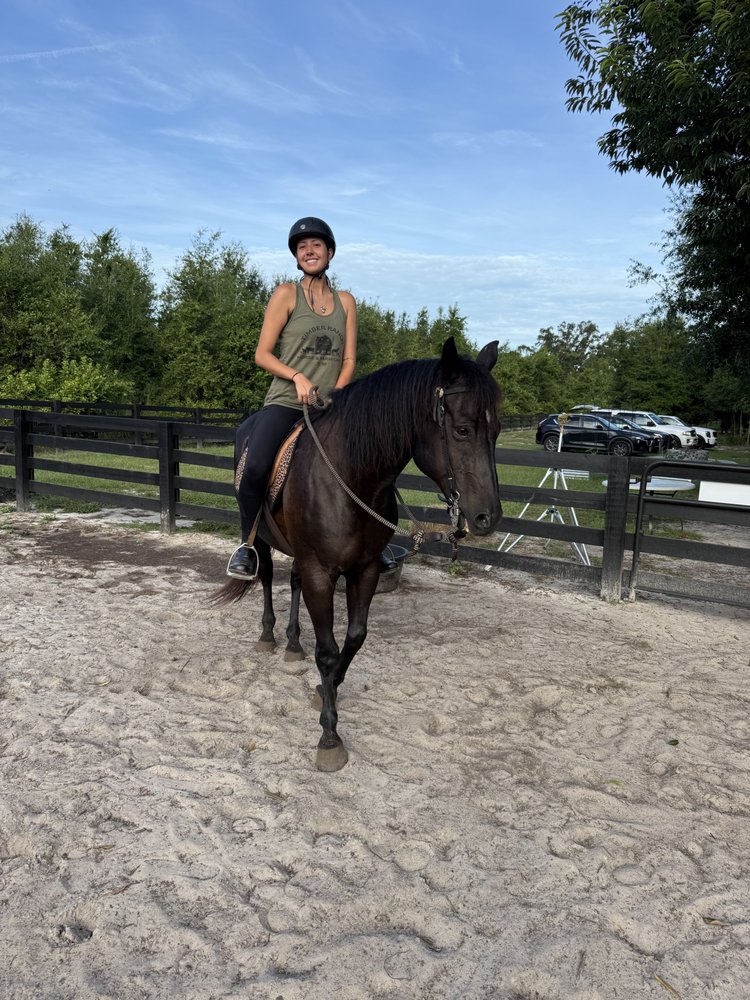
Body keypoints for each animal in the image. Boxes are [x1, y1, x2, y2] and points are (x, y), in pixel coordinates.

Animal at [212, 337, 502, 771]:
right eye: (462, 430)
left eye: (497, 431)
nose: (488, 517)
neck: (352, 477)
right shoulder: (321, 572)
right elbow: (328, 651)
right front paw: (329, 735)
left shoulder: (363, 570)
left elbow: (354, 638)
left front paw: (326, 688)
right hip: (259, 534)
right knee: (264, 577)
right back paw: (268, 633)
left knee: (293, 581)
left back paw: (293, 644)